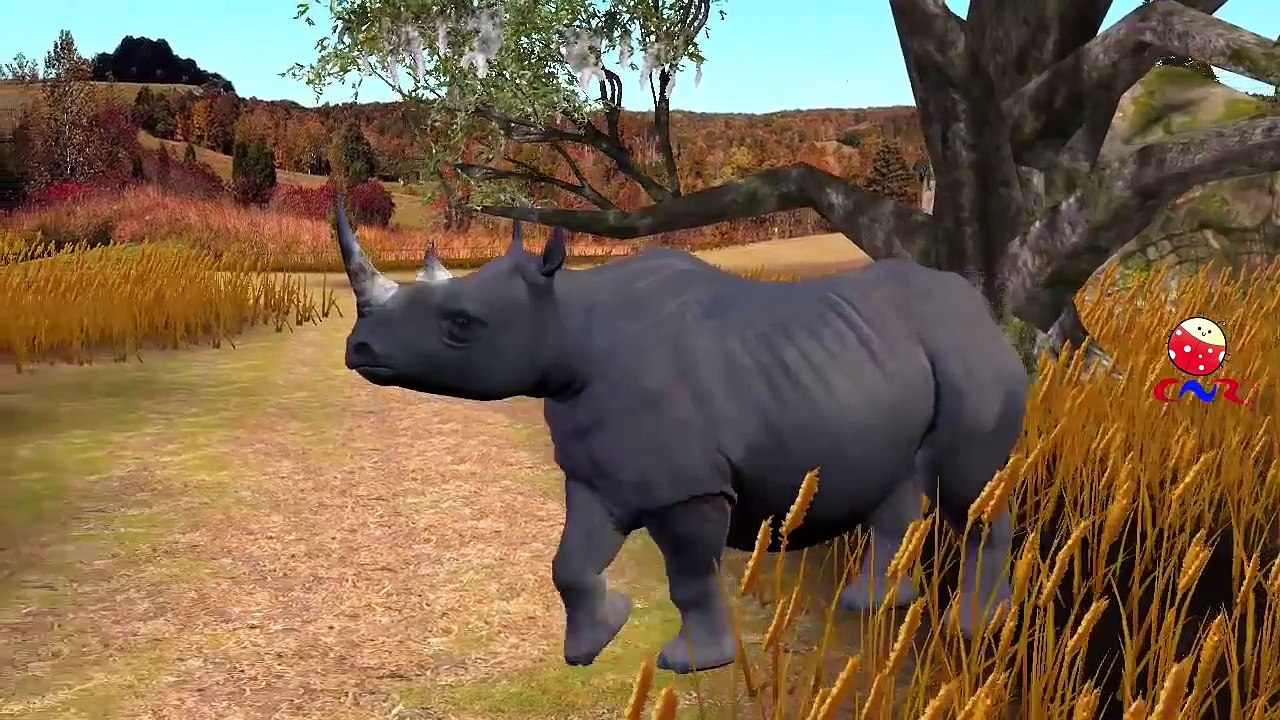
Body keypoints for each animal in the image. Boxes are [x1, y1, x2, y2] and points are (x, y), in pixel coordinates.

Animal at [334, 200, 1028, 674]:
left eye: (461, 325)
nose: (359, 348)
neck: (569, 327)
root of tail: (983, 310)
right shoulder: (598, 472)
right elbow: (570, 562)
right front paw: (591, 644)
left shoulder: (688, 486)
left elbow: (689, 576)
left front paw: (691, 662)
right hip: (878, 360)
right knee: (899, 484)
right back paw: (871, 606)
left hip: (967, 354)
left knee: (969, 495)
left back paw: (975, 627)